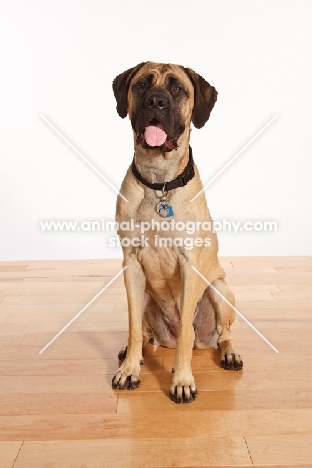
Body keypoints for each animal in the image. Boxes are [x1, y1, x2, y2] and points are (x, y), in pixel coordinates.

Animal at [111, 62, 243, 404]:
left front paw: (182, 380)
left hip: (219, 290)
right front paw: (129, 370)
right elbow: (132, 325)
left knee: (223, 334)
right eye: (142, 84)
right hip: (145, 294)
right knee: (144, 334)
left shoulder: (189, 266)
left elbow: (186, 330)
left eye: (178, 89)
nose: (156, 101)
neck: (159, 183)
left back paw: (229, 354)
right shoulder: (131, 264)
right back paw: (134, 351)